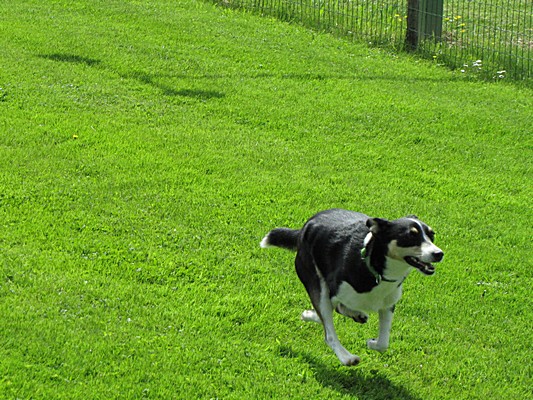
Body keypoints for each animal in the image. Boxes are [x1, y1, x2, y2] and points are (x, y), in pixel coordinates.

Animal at [260, 208, 444, 366]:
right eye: (410, 236)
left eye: (432, 235)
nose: (439, 254)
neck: (374, 268)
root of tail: (306, 226)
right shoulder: (333, 290)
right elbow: (327, 321)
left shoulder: (388, 304)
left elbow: (383, 343)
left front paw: (372, 343)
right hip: (316, 281)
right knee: (329, 330)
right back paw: (346, 357)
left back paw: (355, 315)